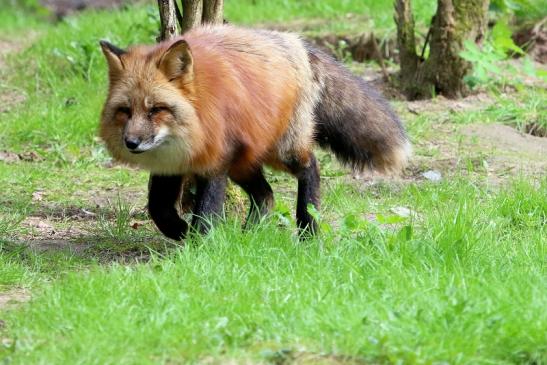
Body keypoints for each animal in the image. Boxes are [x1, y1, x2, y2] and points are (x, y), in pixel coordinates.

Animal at [100, 24, 412, 239]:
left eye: (155, 110)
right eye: (125, 111)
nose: (131, 142)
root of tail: (295, 41)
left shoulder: (217, 157)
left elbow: (207, 212)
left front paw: (199, 246)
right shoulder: (172, 164)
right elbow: (159, 209)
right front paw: (182, 233)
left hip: (282, 149)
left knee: (310, 168)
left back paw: (308, 230)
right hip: (244, 160)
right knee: (266, 195)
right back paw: (249, 235)